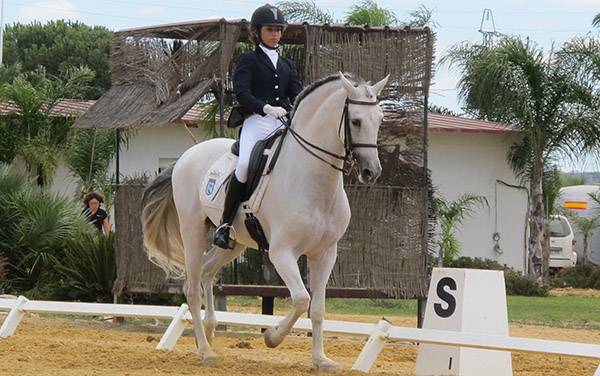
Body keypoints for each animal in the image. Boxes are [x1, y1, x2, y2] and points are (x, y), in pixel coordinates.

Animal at [141, 72, 390, 372]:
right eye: (355, 121)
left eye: (379, 119)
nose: (371, 171)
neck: (314, 180)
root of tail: (184, 158)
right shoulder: (281, 253)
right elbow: (301, 299)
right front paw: (272, 336)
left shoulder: (325, 253)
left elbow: (317, 309)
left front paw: (321, 360)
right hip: (193, 231)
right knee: (191, 288)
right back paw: (205, 351)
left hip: (234, 241)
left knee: (208, 271)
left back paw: (212, 332)